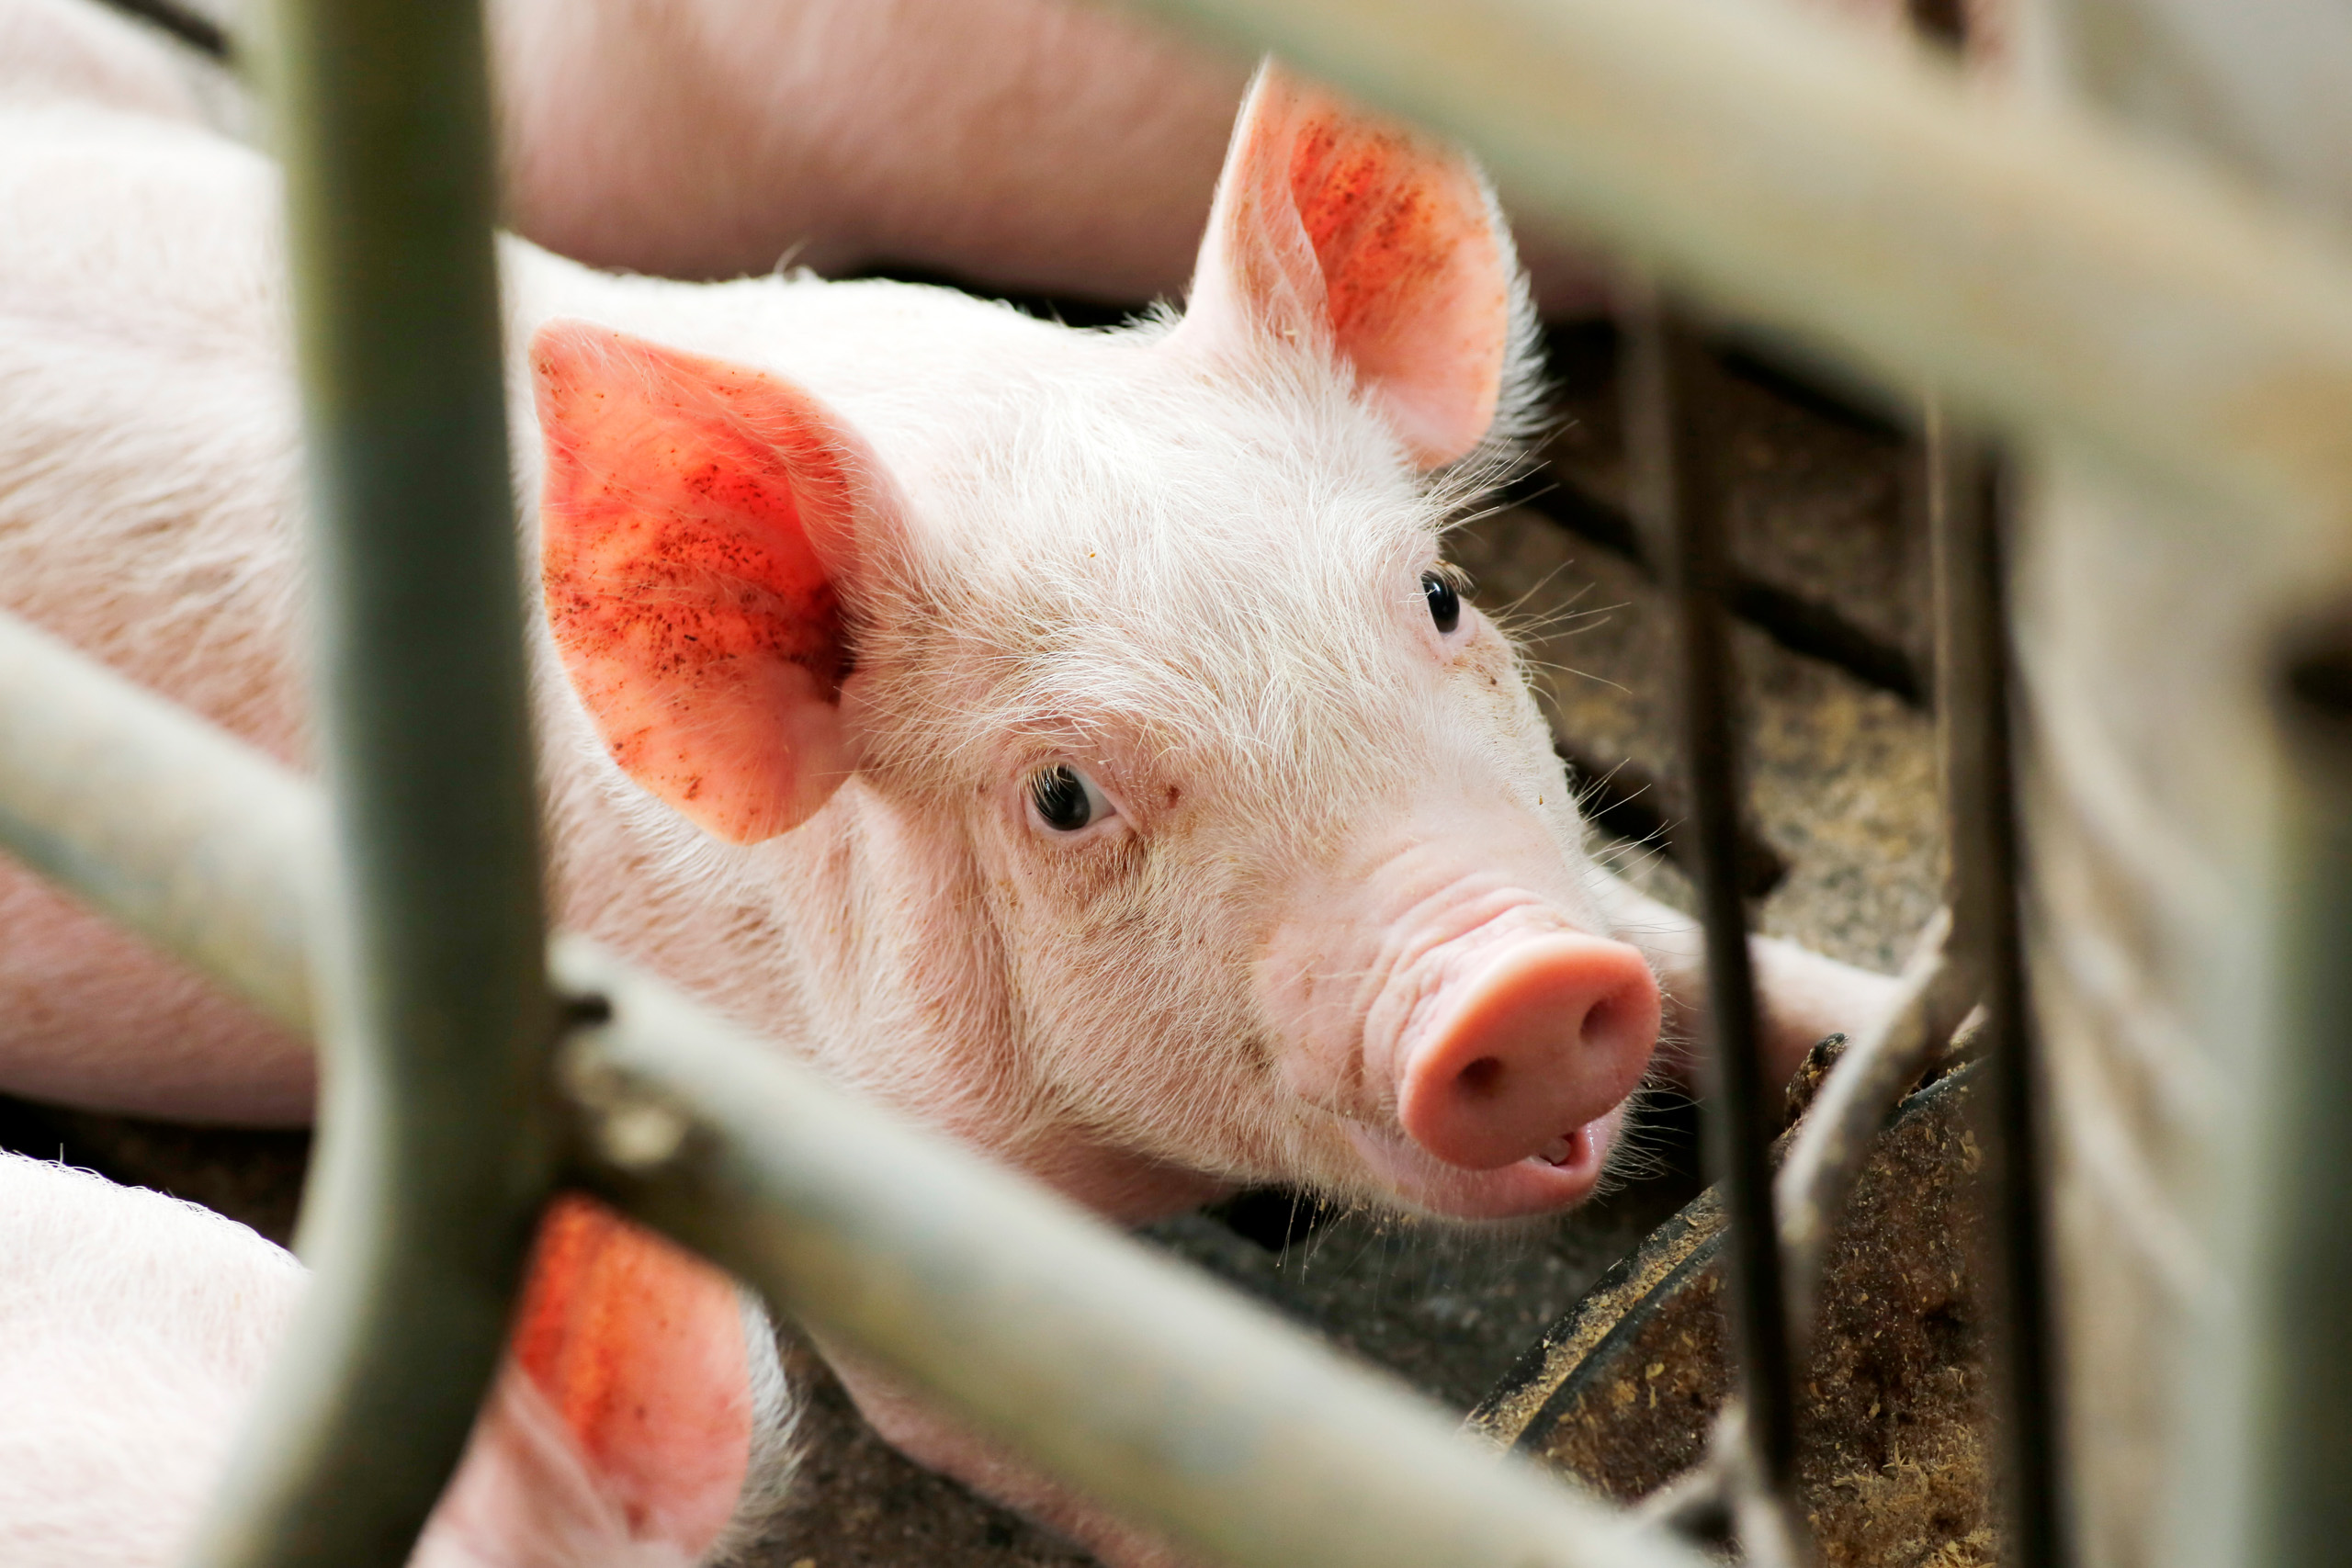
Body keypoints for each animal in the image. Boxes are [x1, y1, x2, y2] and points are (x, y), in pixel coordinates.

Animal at [0, 12, 1897, 1562]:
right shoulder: (864, 1210)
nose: (1519, 979)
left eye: (1436, 599)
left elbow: (1687, 949)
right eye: (1062, 795)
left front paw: (1883, 1031)